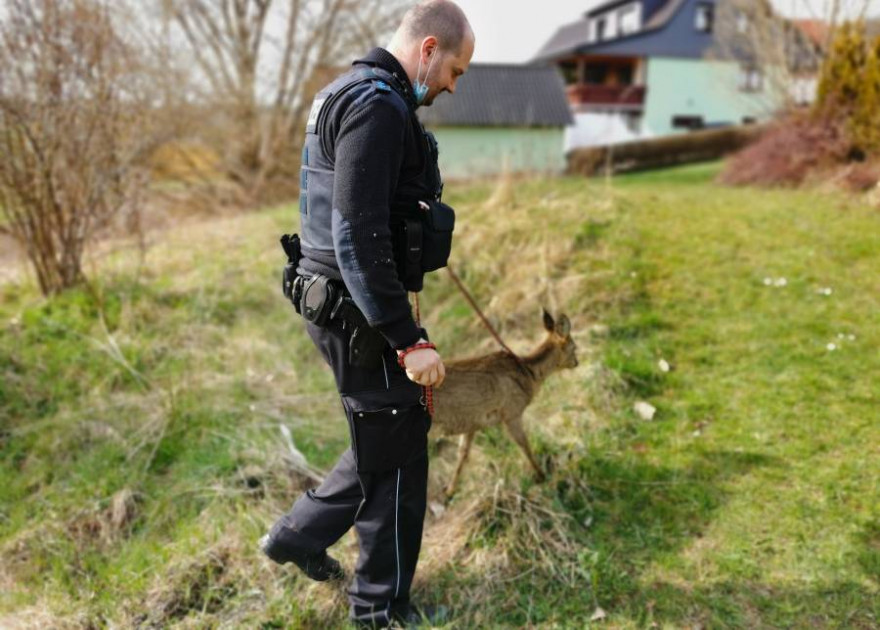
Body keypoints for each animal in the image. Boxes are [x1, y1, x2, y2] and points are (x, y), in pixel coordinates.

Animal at [432, 310, 580, 498]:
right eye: (574, 347)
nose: (577, 362)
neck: (529, 373)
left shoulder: (471, 422)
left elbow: (462, 454)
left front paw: (450, 490)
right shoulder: (511, 412)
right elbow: (524, 445)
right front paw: (541, 476)